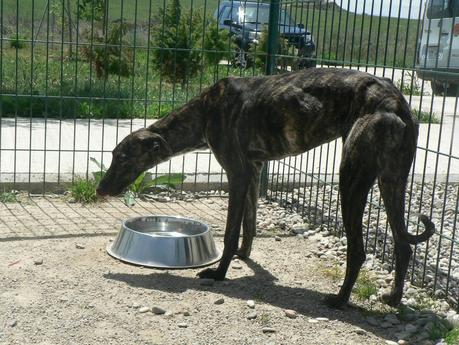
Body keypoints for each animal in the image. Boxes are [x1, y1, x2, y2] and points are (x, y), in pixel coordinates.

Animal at [96, 67, 434, 306]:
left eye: (122, 158)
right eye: (112, 155)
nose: (99, 189)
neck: (204, 110)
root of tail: (396, 101)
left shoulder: (237, 173)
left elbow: (231, 232)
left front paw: (219, 273)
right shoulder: (254, 170)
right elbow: (250, 224)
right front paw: (244, 257)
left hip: (351, 178)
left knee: (359, 250)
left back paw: (340, 300)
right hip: (392, 180)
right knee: (403, 244)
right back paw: (393, 298)